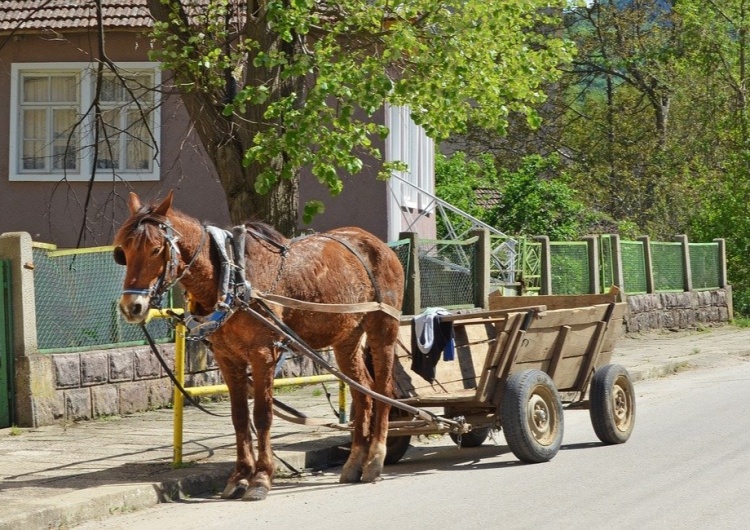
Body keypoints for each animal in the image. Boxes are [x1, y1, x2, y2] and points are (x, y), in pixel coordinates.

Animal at [114, 191, 406, 500]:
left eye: (156, 249)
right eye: (123, 251)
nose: (132, 307)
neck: (229, 277)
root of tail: (376, 243)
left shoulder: (263, 354)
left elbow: (262, 416)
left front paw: (261, 478)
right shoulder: (227, 358)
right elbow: (240, 417)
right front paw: (240, 476)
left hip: (383, 330)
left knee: (382, 389)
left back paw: (375, 458)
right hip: (347, 337)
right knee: (362, 392)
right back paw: (355, 461)